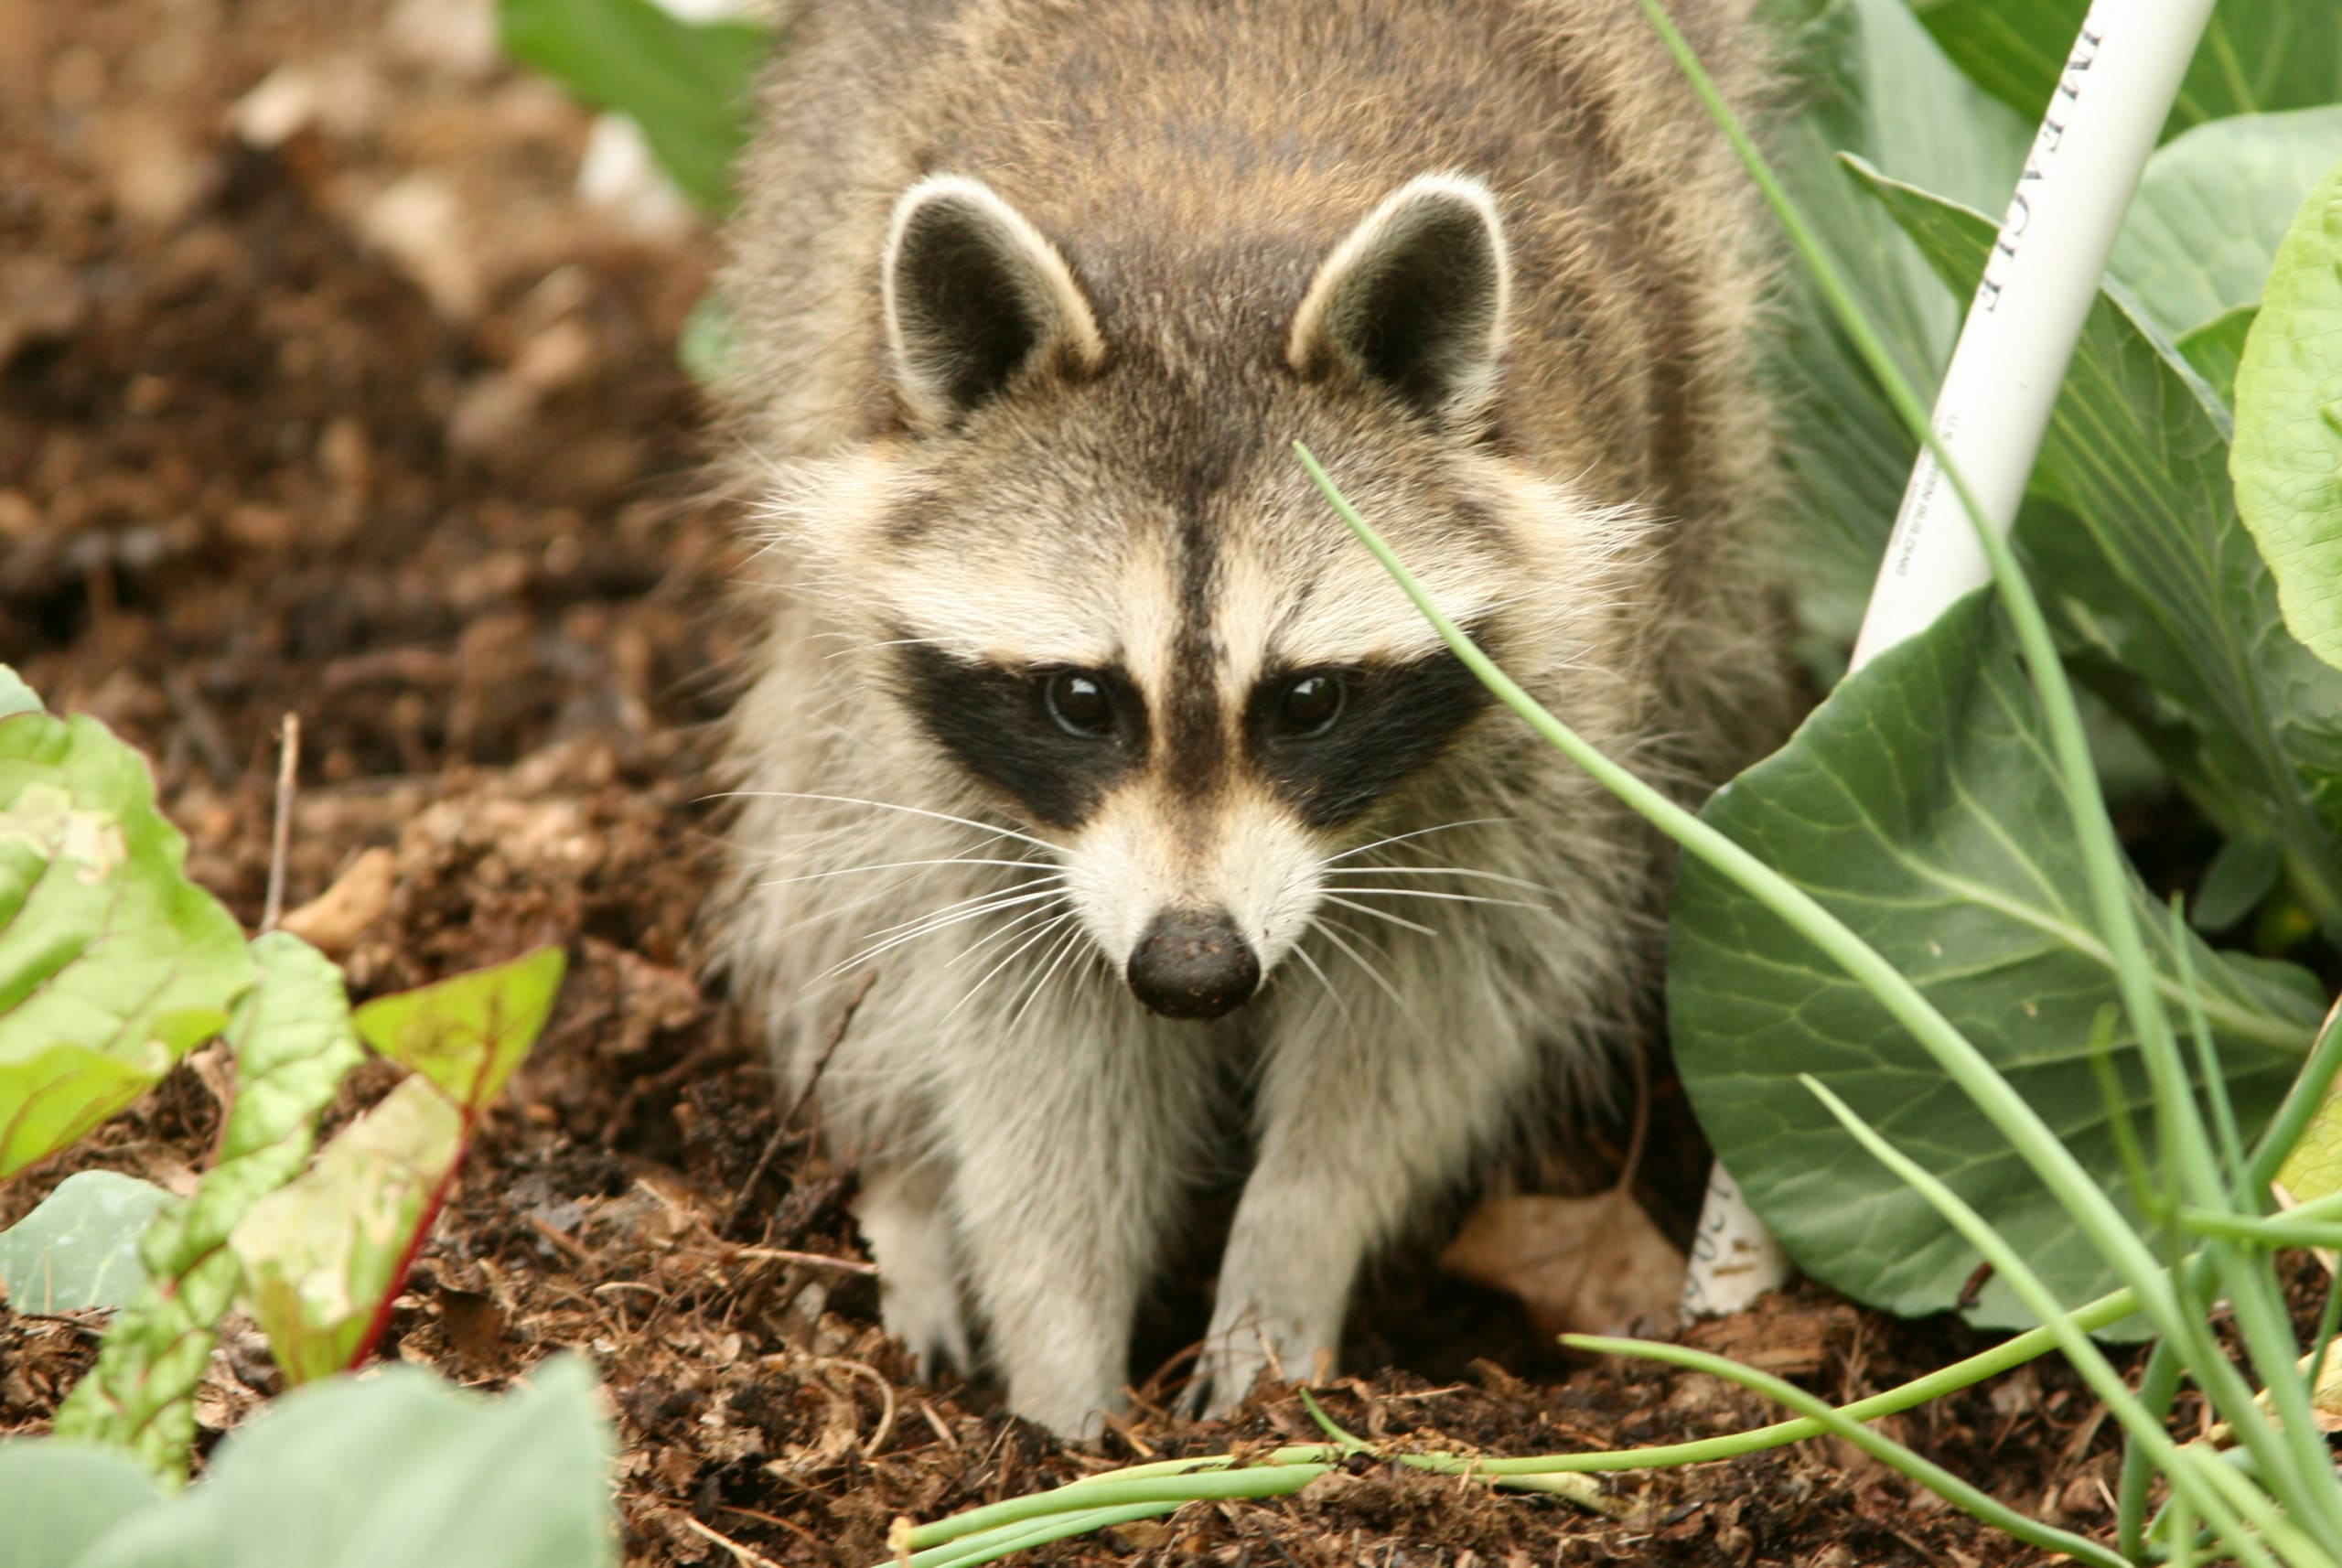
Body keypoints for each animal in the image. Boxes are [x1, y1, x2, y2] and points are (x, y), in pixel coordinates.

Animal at [713, 0, 1792, 1436]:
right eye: (1082, 698)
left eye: (1307, 699)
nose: (1193, 971)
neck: (1207, 252)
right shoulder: (964, 780)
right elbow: (1029, 1035)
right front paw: (1059, 1358)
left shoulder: (1545, 704)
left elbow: (1433, 1006)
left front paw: (1288, 1265)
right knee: (827, 846)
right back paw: (903, 1193)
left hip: (1700, 384)